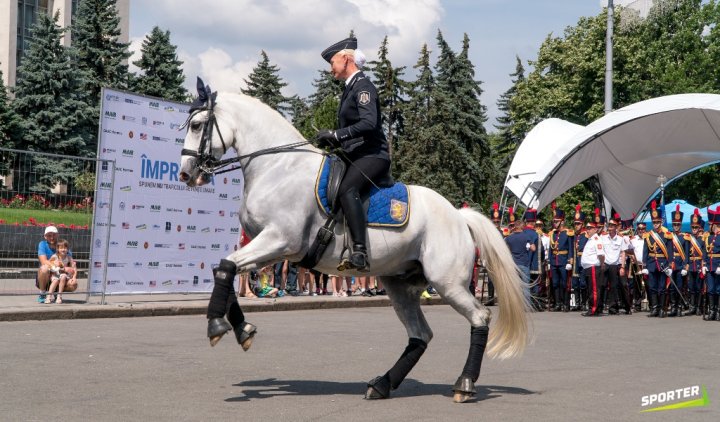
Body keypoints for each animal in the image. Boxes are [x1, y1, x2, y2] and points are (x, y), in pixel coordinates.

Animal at [179, 81, 528, 402]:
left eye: (196, 125)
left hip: (448, 283)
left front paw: (216, 325)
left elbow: (226, 266)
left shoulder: (280, 240)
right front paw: (242, 330)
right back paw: (382, 384)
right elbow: (225, 268)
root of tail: (458, 215)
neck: (278, 168)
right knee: (420, 335)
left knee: (479, 318)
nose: (186, 174)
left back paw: (464, 384)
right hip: (399, 285)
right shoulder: (271, 249)